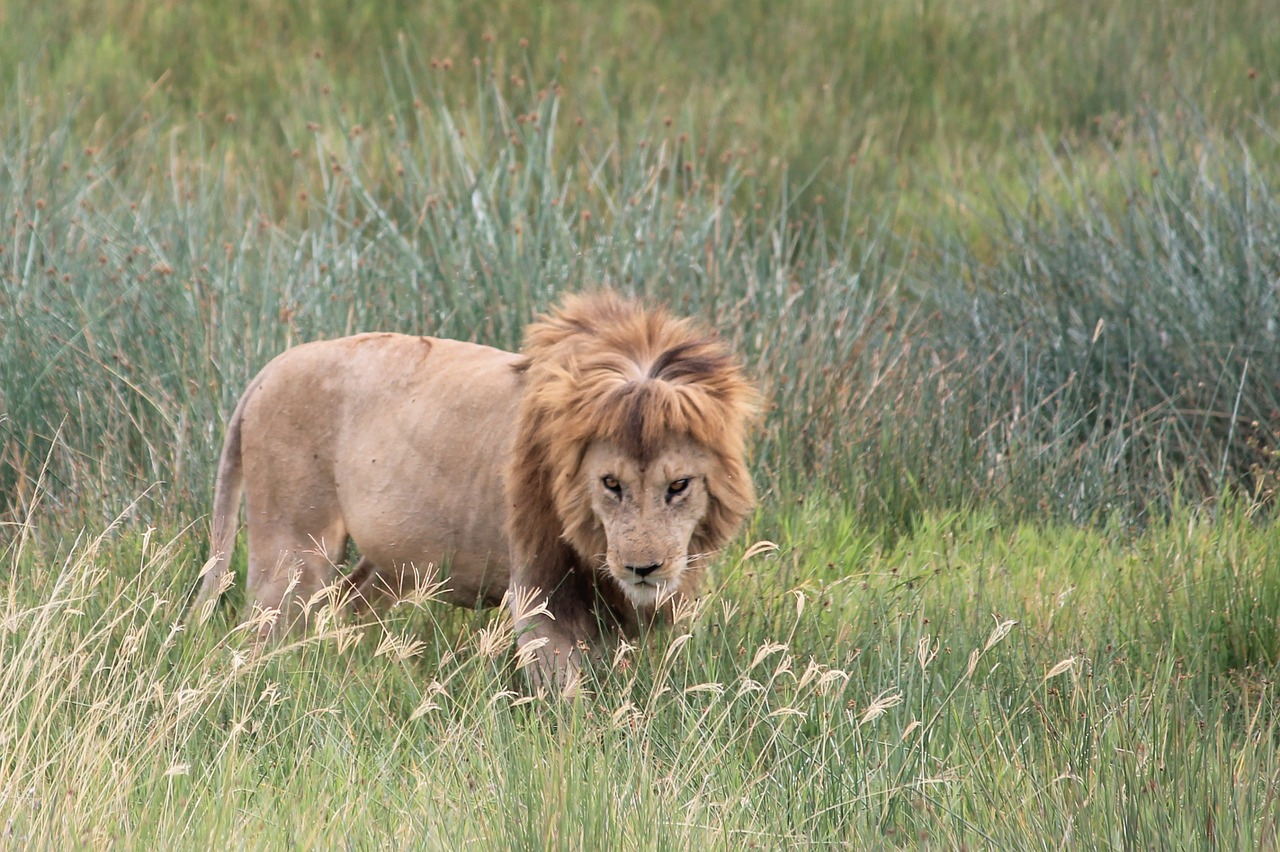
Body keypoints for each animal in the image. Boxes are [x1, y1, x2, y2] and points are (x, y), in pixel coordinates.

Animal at [194, 291, 757, 690]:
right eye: (611, 484)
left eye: (678, 485)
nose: (643, 569)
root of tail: (266, 373)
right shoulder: (538, 591)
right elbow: (566, 695)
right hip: (292, 550)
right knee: (259, 631)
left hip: (397, 559)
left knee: (346, 605)